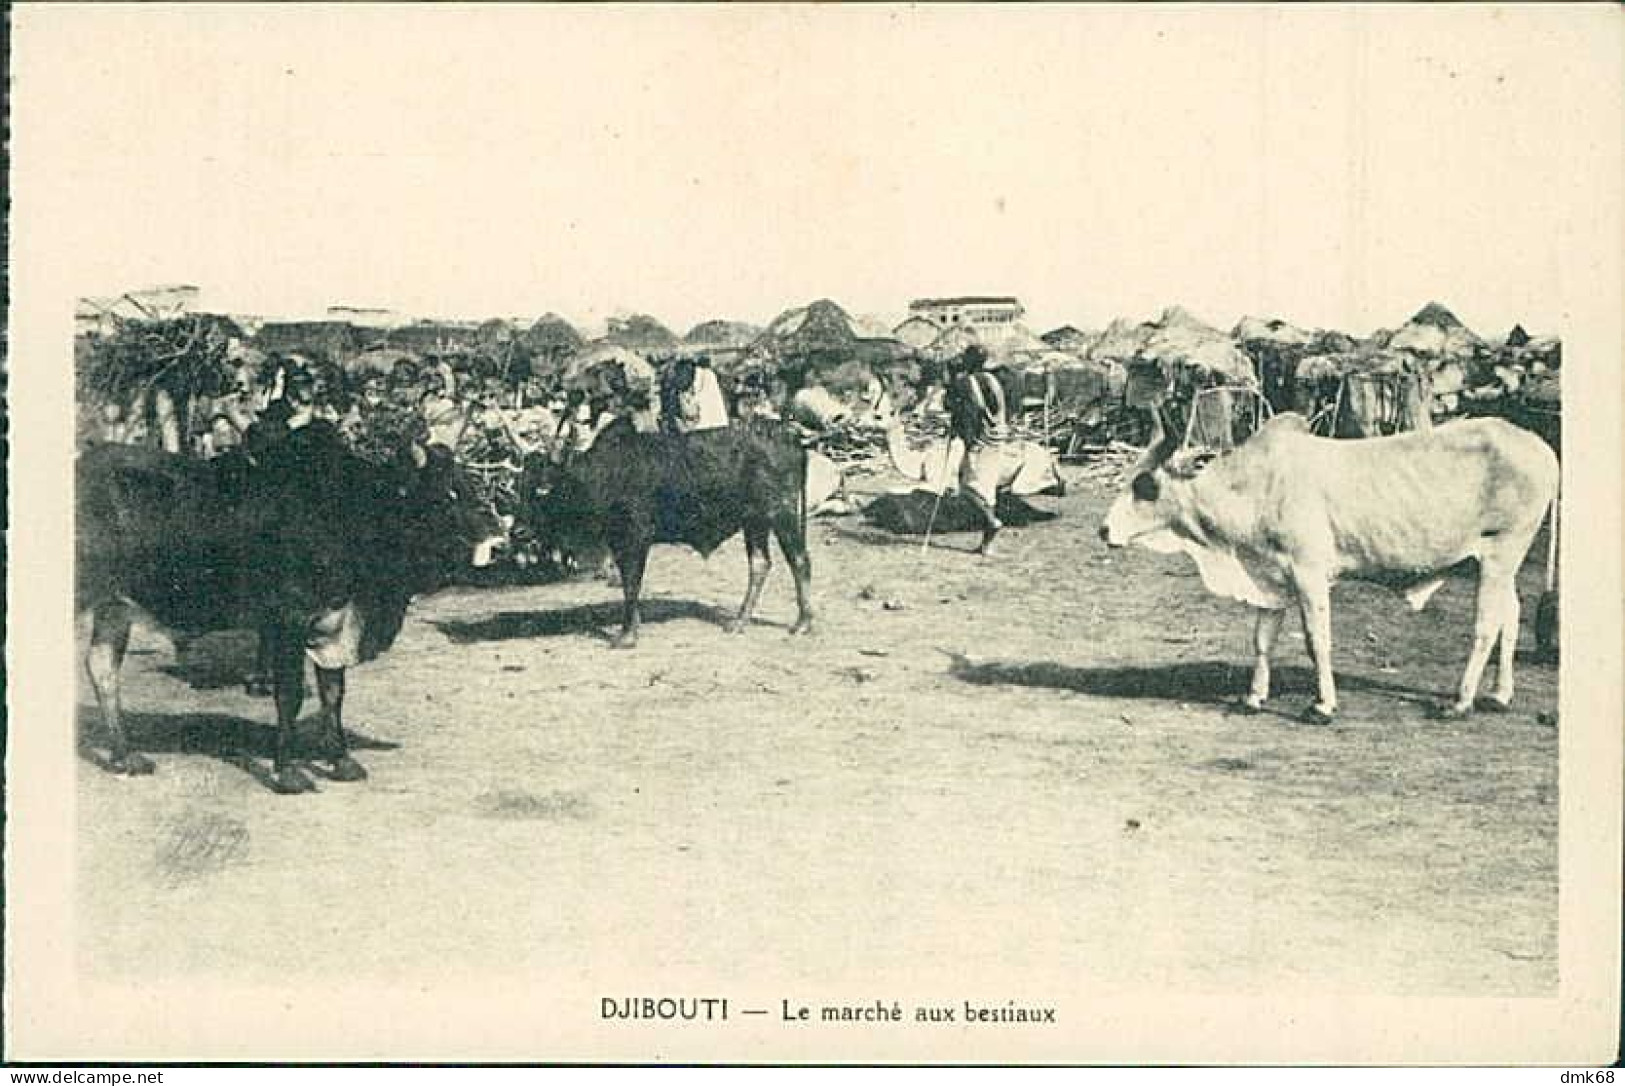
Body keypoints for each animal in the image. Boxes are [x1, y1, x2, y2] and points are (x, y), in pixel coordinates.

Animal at [74, 429, 500, 793]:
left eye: (466, 485)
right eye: (446, 494)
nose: (498, 537)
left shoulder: (331, 622)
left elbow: (333, 693)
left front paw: (342, 761)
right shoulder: (289, 619)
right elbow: (291, 695)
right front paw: (288, 771)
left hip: (114, 606)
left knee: (102, 667)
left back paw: (125, 756)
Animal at [523, 419, 812, 650]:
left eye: (547, 488)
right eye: (523, 485)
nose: (519, 530)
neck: (606, 475)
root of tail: (789, 436)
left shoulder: (636, 537)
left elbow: (632, 584)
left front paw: (626, 636)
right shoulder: (618, 541)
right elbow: (627, 584)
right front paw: (632, 627)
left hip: (782, 514)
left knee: (799, 561)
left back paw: (803, 623)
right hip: (755, 522)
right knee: (760, 564)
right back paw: (739, 621)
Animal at [1098, 406, 1553, 721]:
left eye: (1146, 485)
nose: (1103, 530)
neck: (1255, 488)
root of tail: (1539, 445)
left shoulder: (1309, 573)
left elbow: (1317, 641)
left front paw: (1323, 705)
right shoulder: (1272, 577)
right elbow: (1262, 640)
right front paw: (1254, 697)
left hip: (1501, 553)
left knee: (1485, 626)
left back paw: (1461, 702)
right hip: (1493, 563)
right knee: (1511, 616)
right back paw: (1499, 696)